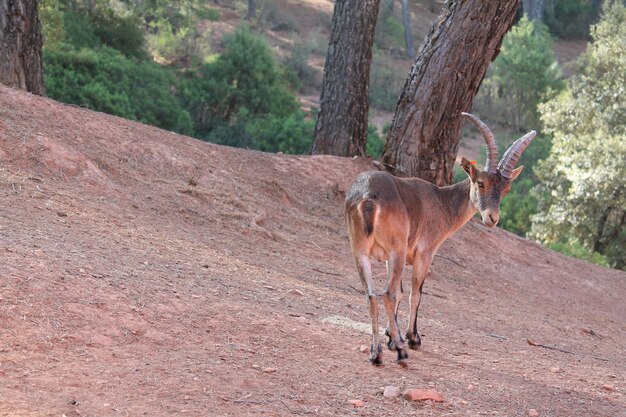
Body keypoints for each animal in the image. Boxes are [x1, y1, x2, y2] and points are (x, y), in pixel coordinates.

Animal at [344, 113, 532, 364]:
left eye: (505, 189)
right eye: (480, 182)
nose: (492, 218)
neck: (442, 202)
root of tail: (367, 198)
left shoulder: (387, 257)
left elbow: (402, 292)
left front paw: (390, 336)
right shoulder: (425, 253)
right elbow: (415, 294)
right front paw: (411, 338)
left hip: (360, 250)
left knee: (371, 295)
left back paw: (376, 354)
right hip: (396, 251)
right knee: (388, 294)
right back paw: (401, 352)